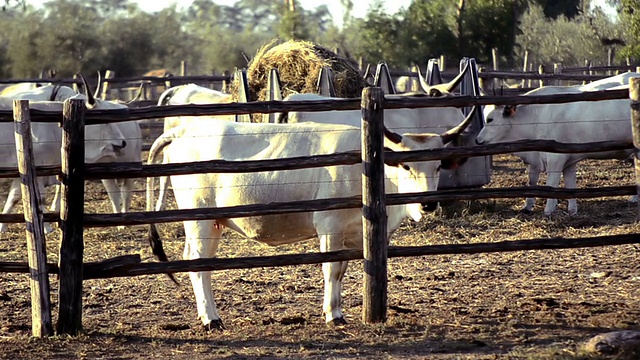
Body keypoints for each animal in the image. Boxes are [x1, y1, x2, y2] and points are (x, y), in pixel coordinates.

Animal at [0, 83, 131, 231]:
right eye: (104, 122)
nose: (123, 142)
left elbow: (14, 197)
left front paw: (2, 226)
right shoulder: (36, 169)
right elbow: (38, 198)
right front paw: (46, 227)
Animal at [146, 115, 470, 330]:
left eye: (438, 166)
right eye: (406, 165)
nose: (428, 203)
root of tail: (184, 129)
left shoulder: (351, 234)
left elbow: (342, 271)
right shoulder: (329, 225)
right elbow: (331, 270)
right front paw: (333, 315)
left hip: (209, 223)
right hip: (199, 219)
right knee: (199, 264)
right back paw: (211, 319)